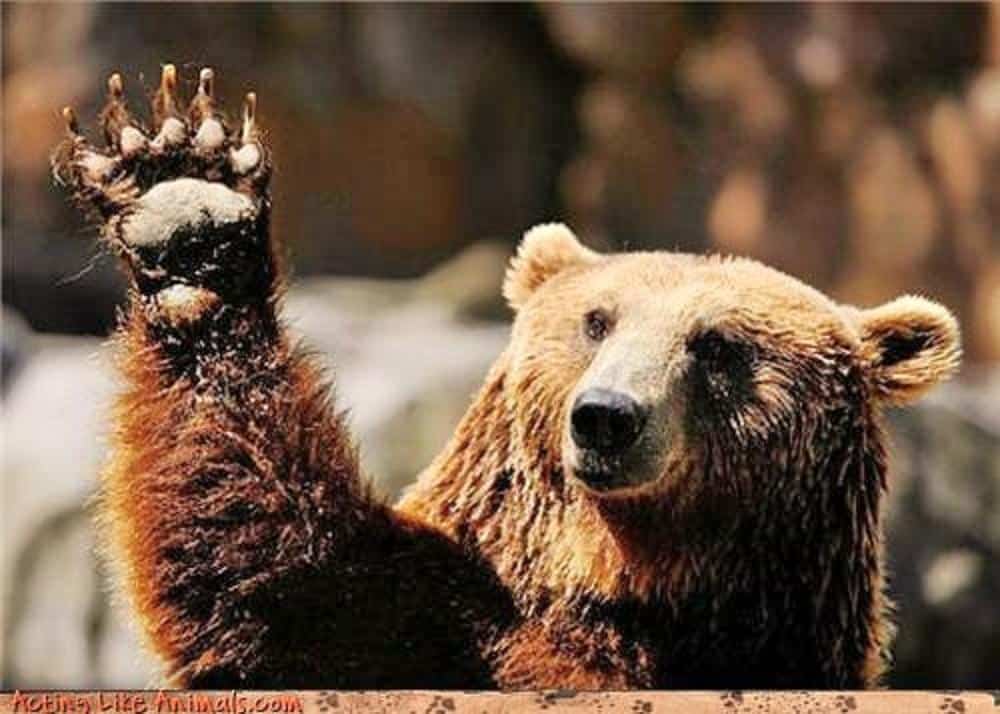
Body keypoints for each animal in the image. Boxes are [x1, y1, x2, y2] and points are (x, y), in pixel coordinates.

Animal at [52, 67, 961, 690]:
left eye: (717, 345)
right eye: (597, 320)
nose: (607, 417)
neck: (622, 580)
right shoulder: (422, 617)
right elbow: (265, 569)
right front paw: (186, 195)